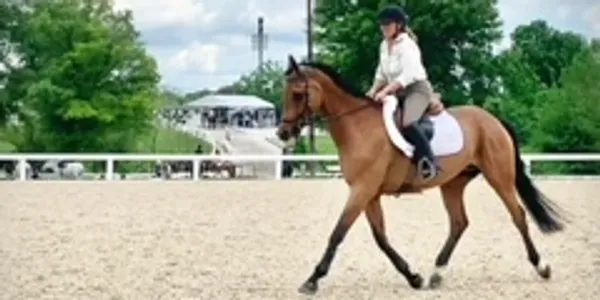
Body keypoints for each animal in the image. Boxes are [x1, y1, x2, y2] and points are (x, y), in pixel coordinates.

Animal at [276, 55, 568, 294]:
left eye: (298, 94)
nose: (283, 133)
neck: (357, 126)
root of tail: (493, 119)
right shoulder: (369, 194)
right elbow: (381, 238)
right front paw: (413, 277)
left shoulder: (362, 190)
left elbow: (338, 233)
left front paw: (312, 280)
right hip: (453, 184)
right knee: (459, 223)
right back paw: (436, 274)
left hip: (499, 177)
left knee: (518, 215)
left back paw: (542, 266)